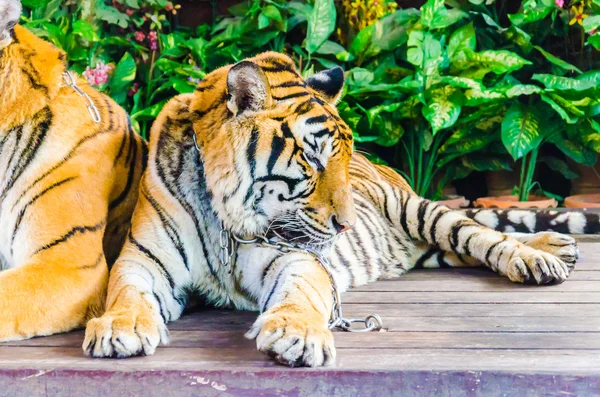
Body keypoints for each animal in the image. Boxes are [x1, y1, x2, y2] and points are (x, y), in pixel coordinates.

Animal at [82, 51, 592, 366]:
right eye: (312, 158)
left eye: (343, 158)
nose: (347, 226)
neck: (227, 220)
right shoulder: (144, 259)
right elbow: (126, 292)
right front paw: (120, 326)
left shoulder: (295, 258)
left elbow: (299, 295)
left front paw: (296, 334)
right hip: (430, 246)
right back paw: (554, 247)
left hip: (421, 212)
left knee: (481, 233)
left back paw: (542, 255)